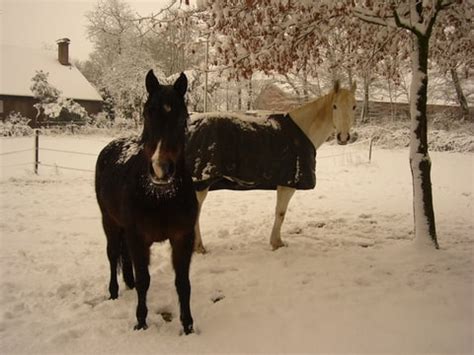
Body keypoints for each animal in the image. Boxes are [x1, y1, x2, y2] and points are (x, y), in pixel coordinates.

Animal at [94, 71, 198, 336]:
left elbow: (183, 283)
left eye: (182, 117)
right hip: (109, 222)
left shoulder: (183, 237)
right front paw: (141, 321)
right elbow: (144, 281)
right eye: (147, 112)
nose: (161, 169)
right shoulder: (138, 238)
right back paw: (114, 292)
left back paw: (127, 283)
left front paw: (188, 326)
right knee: (113, 255)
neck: (159, 196)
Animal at [189, 80, 356, 253]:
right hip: (200, 185)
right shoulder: (287, 185)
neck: (302, 130)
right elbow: (280, 213)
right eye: (334, 106)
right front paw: (277, 243)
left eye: (354, 106)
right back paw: (199, 247)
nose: (343, 137)